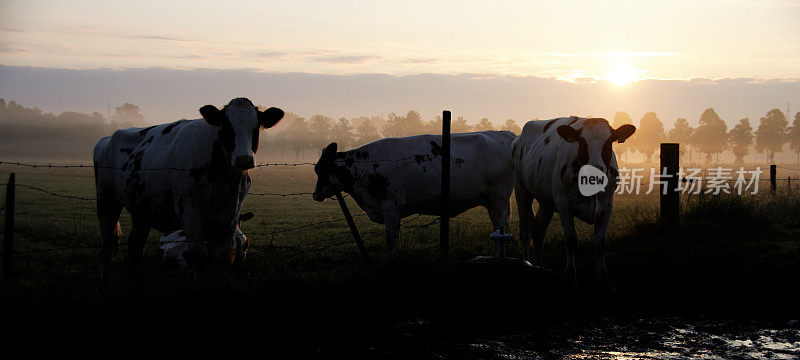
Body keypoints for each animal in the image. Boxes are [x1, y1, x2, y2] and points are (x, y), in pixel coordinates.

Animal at [94, 96, 284, 272]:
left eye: (256, 127)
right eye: (226, 127)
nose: (244, 159)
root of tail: (107, 138)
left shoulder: (230, 217)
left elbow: (221, 260)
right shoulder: (192, 216)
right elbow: (199, 259)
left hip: (142, 209)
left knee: (136, 243)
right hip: (106, 200)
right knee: (108, 241)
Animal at [310, 131, 516, 250]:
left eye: (321, 169)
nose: (315, 195)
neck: (365, 167)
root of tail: (506, 135)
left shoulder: (391, 207)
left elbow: (391, 241)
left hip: (498, 198)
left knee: (499, 228)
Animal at [512, 116, 636, 286]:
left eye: (609, 141)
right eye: (582, 142)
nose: (595, 171)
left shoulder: (607, 205)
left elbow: (600, 243)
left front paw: (602, 275)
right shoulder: (563, 204)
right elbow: (571, 240)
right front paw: (570, 274)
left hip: (546, 202)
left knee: (540, 231)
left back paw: (539, 266)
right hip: (521, 189)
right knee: (525, 232)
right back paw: (527, 263)